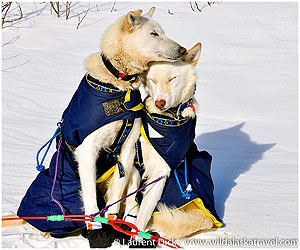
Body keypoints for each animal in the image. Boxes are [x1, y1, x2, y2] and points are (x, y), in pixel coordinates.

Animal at [123, 43, 221, 240]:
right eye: (153, 80)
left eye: (172, 78)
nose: (160, 102)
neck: (166, 120)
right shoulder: (136, 165)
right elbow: (132, 201)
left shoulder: (160, 172)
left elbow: (143, 214)